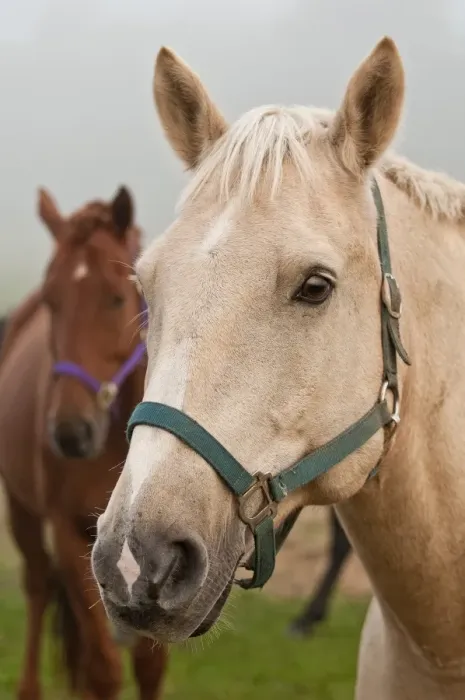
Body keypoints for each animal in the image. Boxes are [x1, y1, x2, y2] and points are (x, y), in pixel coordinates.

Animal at [0, 187, 167, 700]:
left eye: (116, 298)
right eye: (52, 301)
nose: (71, 434)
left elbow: (148, 666)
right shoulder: (66, 528)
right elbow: (103, 667)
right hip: (21, 509)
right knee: (37, 586)